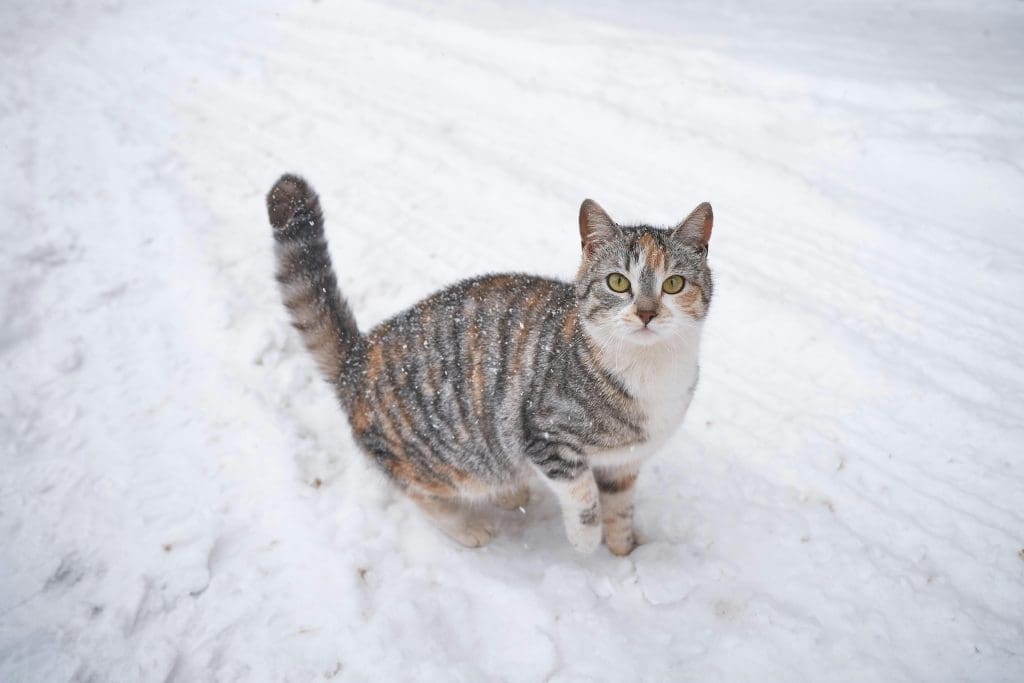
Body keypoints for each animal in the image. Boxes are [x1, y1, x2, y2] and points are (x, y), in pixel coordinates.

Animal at [264, 176, 712, 557]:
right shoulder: (545, 436)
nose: (647, 313)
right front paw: (586, 540)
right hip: (438, 458)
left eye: (673, 284)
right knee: (419, 490)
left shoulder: (625, 463)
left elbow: (620, 507)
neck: (649, 369)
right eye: (618, 282)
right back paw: (468, 526)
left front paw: (624, 549)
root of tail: (360, 355)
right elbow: (582, 493)